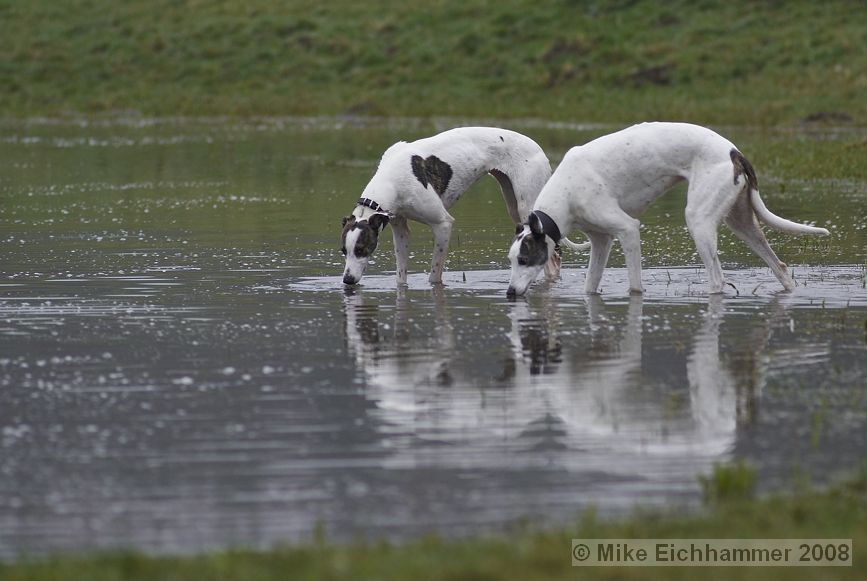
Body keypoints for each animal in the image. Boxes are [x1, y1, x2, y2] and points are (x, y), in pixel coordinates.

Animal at [342, 125, 580, 284]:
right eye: (344, 251)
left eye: (362, 249)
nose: (347, 281)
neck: (392, 177)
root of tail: (537, 147)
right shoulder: (399, 228)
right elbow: (401, 276)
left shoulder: (443, 224)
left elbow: (434, 275)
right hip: (514, 206)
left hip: (527, 207)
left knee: (553, 258)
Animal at [508, 122, 836, 294]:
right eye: (511, 260)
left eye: (524, 260)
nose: (510, 294)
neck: (567, 191)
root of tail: (734, 151)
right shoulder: (602, 240)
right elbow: (590, 286)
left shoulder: (628, 231)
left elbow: (635, 287)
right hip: (741, 222)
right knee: (780, 267)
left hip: (700, 222)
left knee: (717, 280)